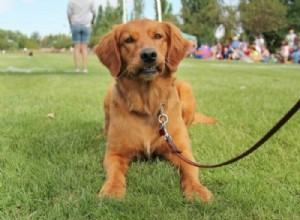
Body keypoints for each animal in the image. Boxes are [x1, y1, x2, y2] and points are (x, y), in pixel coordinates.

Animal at [95, 19, 214, 203]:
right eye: (128, 40)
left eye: (158, 36)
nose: (148, 55)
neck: (148, 104)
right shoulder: (115, 153)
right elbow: (114, 173)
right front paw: (112, 189)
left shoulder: (181, 150)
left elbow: (191, 169)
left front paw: (196, 189)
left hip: (187, 89)